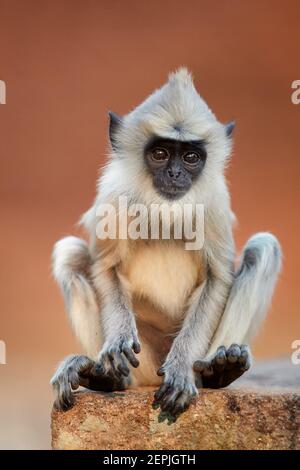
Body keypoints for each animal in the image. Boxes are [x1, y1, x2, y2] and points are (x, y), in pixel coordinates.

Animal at [51, 68, 282, 416]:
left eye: (190, 157)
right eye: (160, 154)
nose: (174, 174)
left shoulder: (215, 199)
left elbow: (218, 277)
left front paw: (181, 368)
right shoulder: (113, 197)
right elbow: (105, 267)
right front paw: (117, 342)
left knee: (262, 248)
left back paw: (220, 370)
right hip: (145, 360)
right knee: (70, 254)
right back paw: (106, 378)